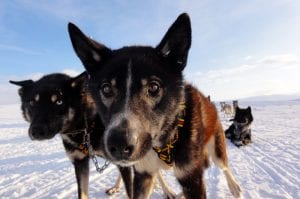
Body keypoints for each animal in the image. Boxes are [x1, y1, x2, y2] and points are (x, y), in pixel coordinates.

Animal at [68, 13, 241, 198]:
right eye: (106, 89)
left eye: (154, 87)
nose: (120, 145)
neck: (164, 142)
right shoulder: (142, 174)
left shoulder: (192, 178)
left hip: (216, 149)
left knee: (225, 167)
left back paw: (234, 187)